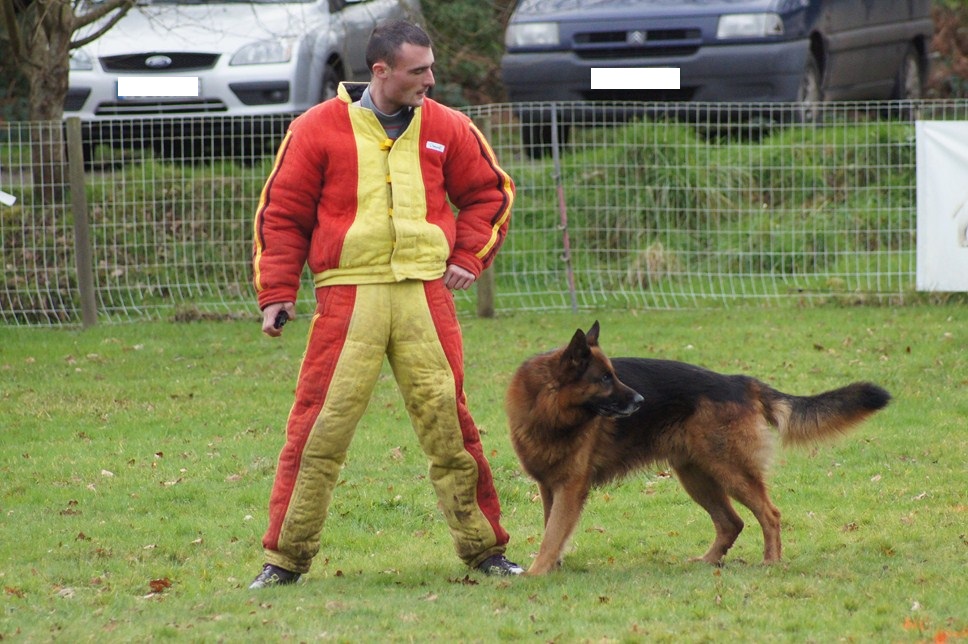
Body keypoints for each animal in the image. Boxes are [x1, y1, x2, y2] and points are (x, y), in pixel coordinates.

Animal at [506, 322, 892, 572]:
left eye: (613, 375)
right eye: (604, 379)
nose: (641, 401)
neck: (546, 407)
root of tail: (740, 381)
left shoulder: (570, 488)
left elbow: (552, 534)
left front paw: (536, 573)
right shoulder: (550, 487)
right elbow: (551, 529)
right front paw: (553, 566)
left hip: (730, 472)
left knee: (769, 515)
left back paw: (771, 562)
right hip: (698, 477)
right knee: (731, 522)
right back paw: (708, 562)